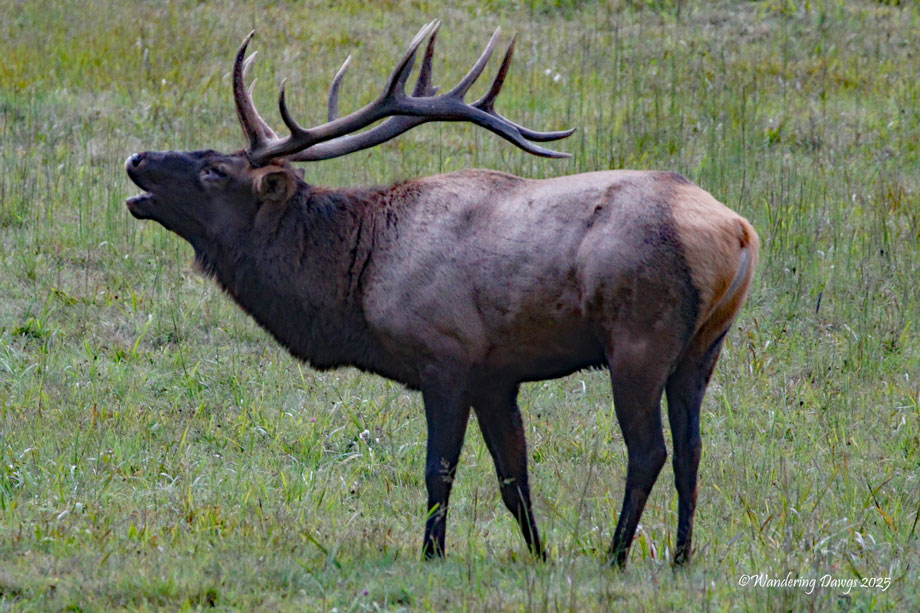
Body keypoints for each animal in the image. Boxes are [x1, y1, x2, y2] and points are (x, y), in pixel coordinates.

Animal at [124, 21, 758, 566]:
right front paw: (540, 555)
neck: (360, 274)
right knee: (693, 449)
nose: (136, 158)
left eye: (214, 170)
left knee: (650, 450)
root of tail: (739, 232)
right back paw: (680, 556)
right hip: (703, 347)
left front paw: (432, 552)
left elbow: (440, 469)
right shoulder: (496, 376)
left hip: (639, 338)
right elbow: (513, 476)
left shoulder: (446, 356)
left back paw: (616, 554)